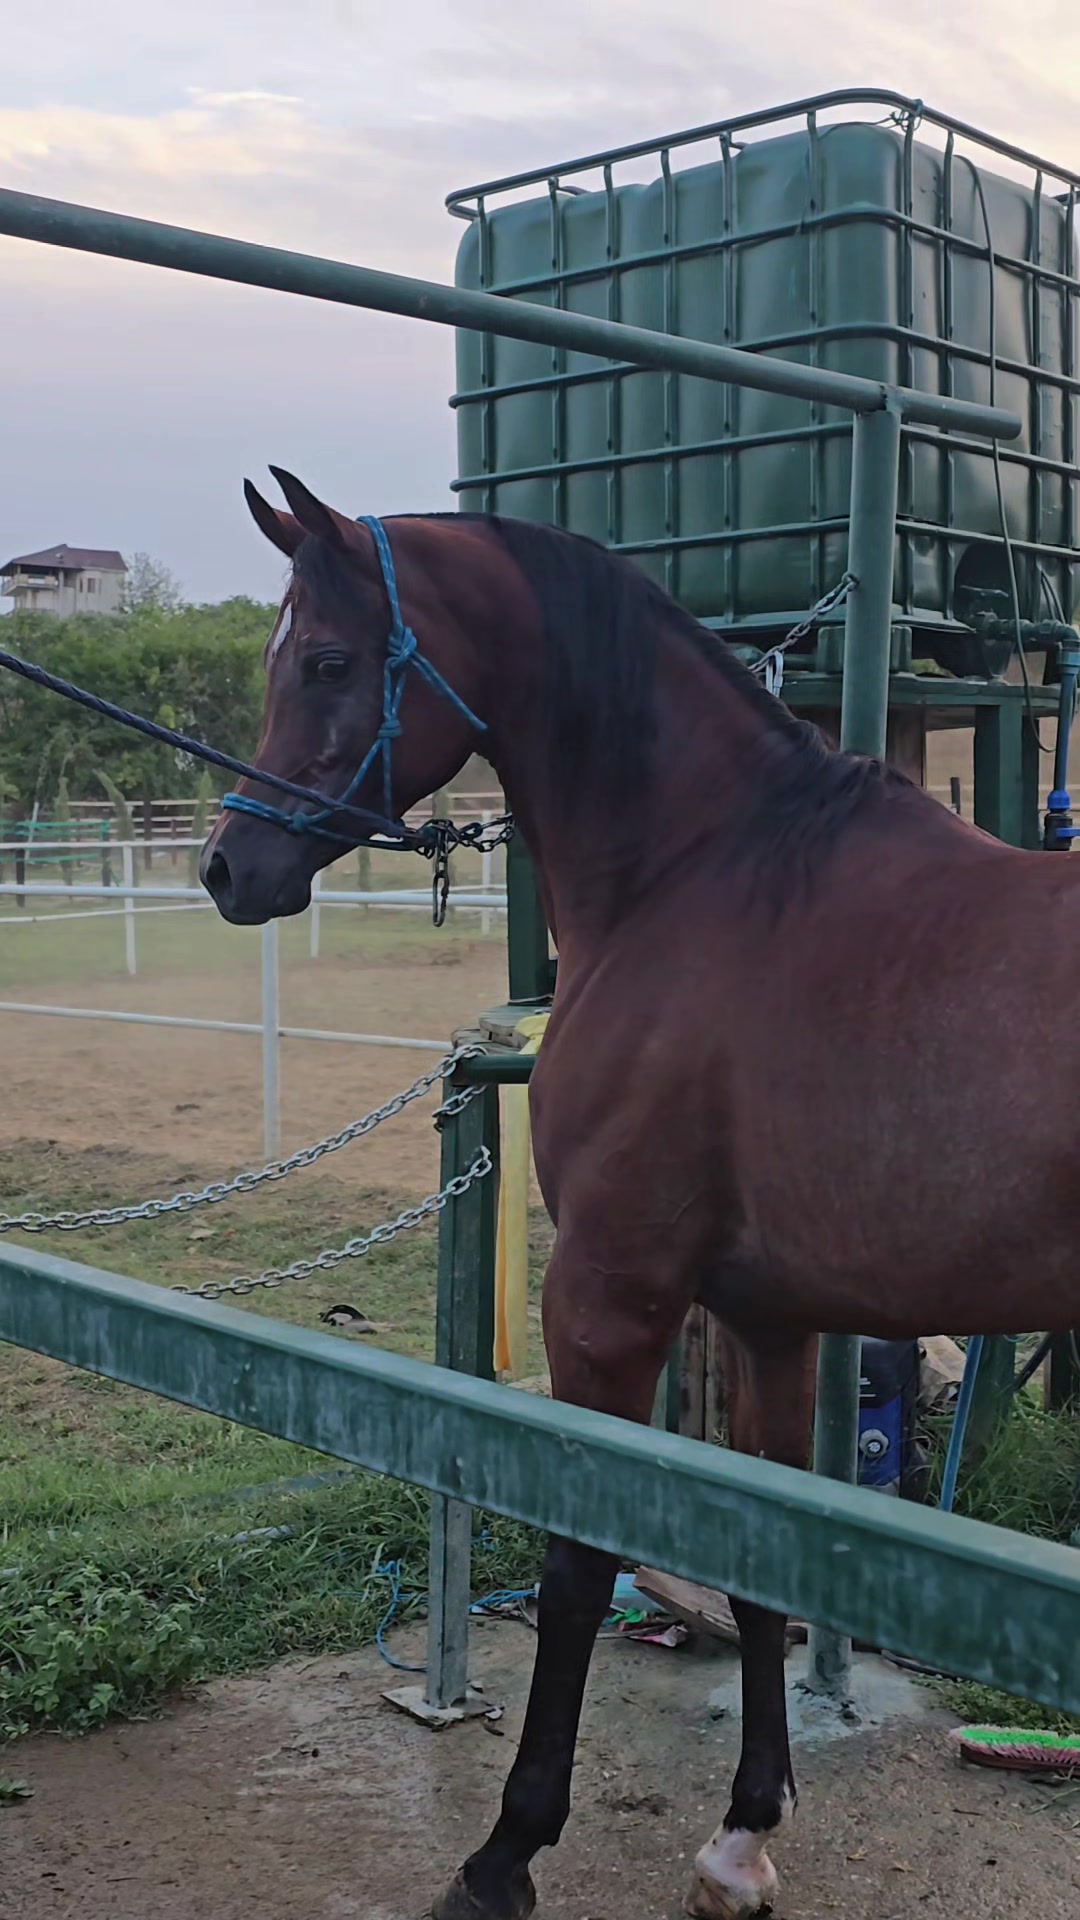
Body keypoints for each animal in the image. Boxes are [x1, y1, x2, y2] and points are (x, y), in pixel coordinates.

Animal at [200, 468, 1080, 1920]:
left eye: (325, 660)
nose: (228, 868)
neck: (706, 872)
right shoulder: (771, 1321)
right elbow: (768, 1568)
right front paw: (744, 1832)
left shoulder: (609, 1298)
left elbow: (575, 1566)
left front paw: (506, 1853)